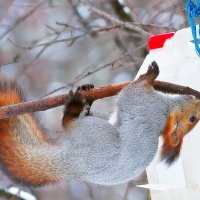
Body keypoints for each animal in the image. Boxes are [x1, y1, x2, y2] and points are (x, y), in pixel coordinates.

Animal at [0, 61, 199, 187]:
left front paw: (150, 75)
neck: (167, 112)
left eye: (192, 119)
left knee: (68, 124)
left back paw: (73, 110)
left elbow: (133, 90)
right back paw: (87, 100)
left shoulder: (147, 104)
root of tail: (72, 163)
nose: (197, 98)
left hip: (97, 132)